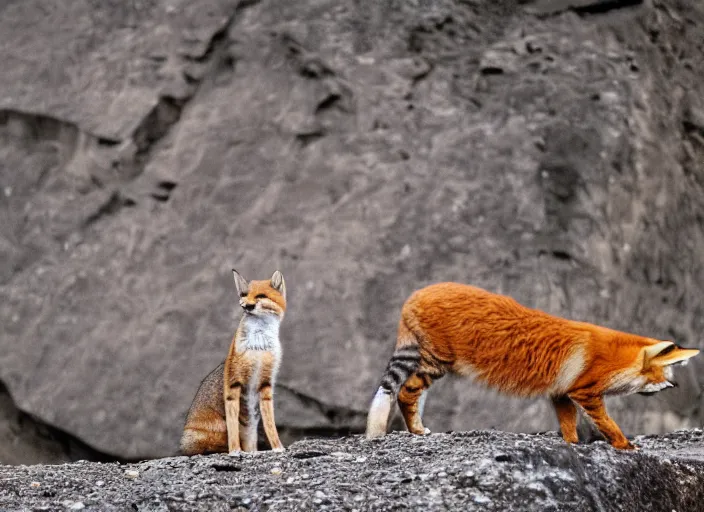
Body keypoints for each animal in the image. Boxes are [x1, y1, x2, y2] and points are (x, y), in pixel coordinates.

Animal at [180, 270, 288, 454]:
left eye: (261, 296)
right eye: (243, 295)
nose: (245, 305)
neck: (258, 347)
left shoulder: (266, 383)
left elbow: (270, 424)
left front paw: (277, 448)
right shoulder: (234, 382)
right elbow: (234, 428)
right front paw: (235, 451)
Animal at [366, 282, 700, 450]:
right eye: (665, 372)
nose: (675, 385)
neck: (611, 358)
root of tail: (415, 294)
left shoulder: (561, 393)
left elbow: (569, 427)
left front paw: (573, 445)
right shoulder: (586, 393)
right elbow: (608, 424)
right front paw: (625, 446)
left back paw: (416, 430)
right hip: (437, 363)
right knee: (406, 393)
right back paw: (416, 431)